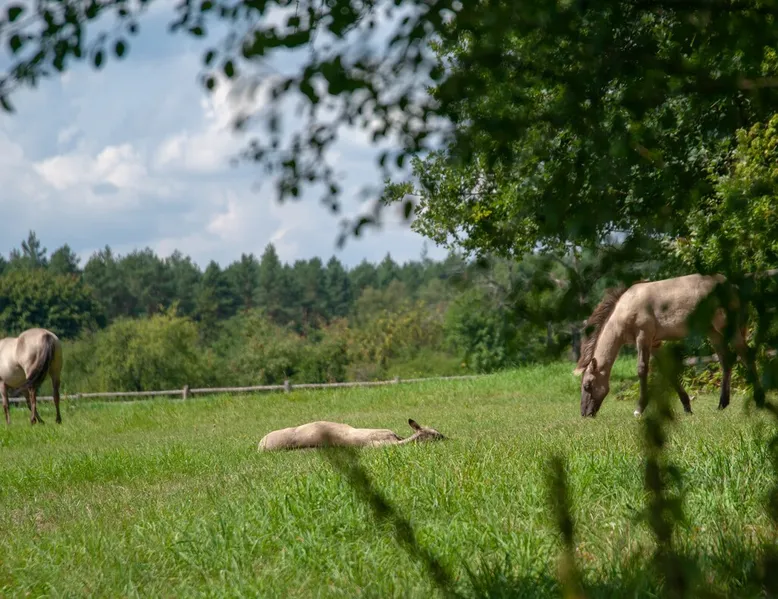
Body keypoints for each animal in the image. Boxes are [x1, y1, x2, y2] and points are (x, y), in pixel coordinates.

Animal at [574, 273, 762, 418]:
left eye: (587, 385)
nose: (584, 413)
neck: (625, 308)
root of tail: (732, 286)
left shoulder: (643, 337)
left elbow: (642, 369)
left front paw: (639, 409)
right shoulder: (655, 344)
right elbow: (669, 371)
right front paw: (687, 408)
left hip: (727, 328)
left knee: (746, 355)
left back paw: (759, 399)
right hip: (713, 333)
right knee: (726, 361)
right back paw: (722, 404)